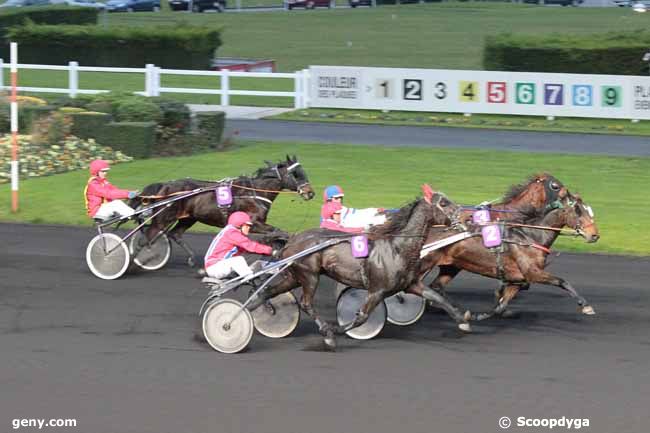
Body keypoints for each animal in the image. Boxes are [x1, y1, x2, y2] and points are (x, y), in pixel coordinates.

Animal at [129, 155, 314, 266]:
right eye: (295, 174)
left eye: (303, 172)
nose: (310, 192)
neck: (255, 192)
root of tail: (165, 185)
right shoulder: (254, 222)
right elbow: (279, 232)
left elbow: (277, 233)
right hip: (163, 218)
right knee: (146, 239)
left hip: (188, 218)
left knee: (175, 234)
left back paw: (191, 259)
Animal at [247, 184, 460, 350]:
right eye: (443, 203)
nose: (462, 217)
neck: (397, 247)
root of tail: (293, 239)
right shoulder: (377, 290)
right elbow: (361, 317)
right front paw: (333, 331)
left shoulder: (411, 284)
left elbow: (437, 298)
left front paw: (463, 320)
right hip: (309, 275)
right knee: (306, 303)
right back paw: (325, 332)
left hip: (294, 276)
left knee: (268, 292)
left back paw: (249, 310)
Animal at [420, 194, 596, 318]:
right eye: (578, 211)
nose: (595, 235)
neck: (531, 236)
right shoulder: (533, 273)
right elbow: (562, 281)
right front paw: (586, 305)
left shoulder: (517, 279)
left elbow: (501, 306)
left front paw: (485, 314)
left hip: (452, 266)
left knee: (436, 286)